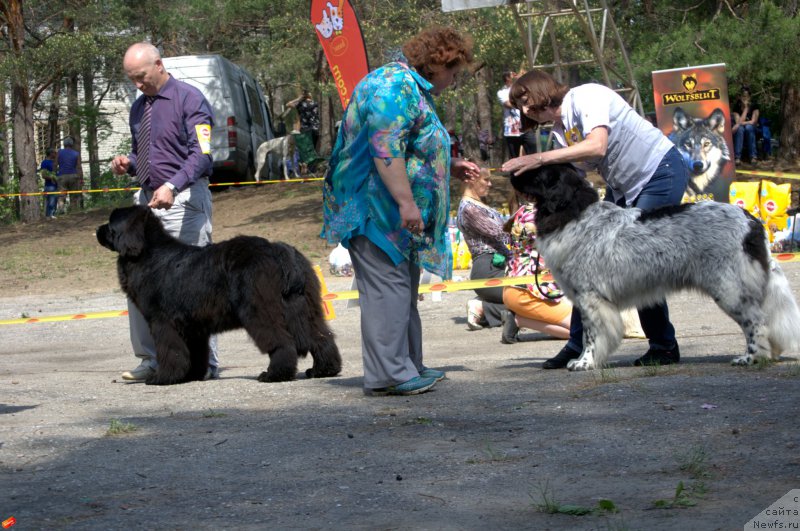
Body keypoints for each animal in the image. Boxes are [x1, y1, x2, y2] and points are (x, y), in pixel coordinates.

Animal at [96, 206, 340, 384]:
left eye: (110, 224)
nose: (97, 230)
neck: (146, 253)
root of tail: (277, 250)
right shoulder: (192, 326)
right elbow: (194, 354)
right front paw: (190, 376)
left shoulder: (163, 322)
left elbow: (171, 352)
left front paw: (162, 378)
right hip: (303, 308)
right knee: (320, 337)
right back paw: (323, 370)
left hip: (259, 310)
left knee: (282, 342)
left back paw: (273, 375)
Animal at [512, 164, 800, 372]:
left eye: (537, 173)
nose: (511, 173)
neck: (575, 213)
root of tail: (752, 222)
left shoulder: (590, 298)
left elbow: (590, 336)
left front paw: (585, 362)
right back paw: (770, 353)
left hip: (730, 289)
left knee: (757, 322)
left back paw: (752, 358)